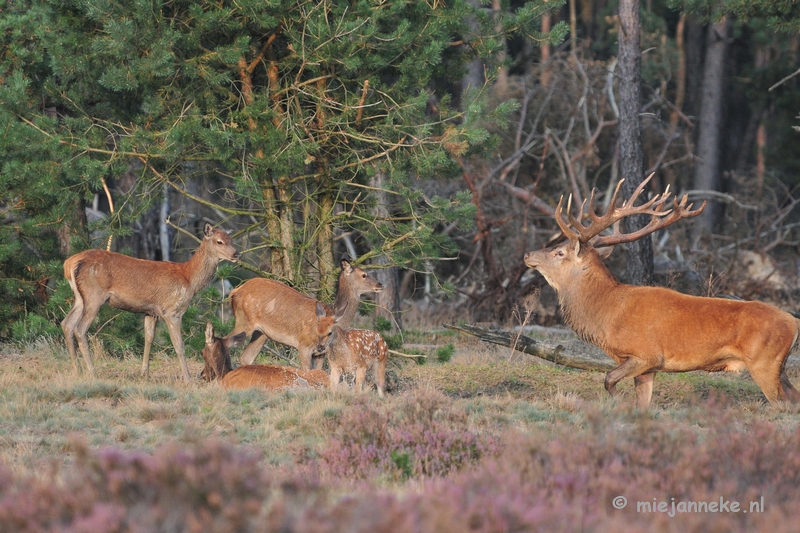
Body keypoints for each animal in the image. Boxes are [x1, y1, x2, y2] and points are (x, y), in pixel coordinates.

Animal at [62, 222, 238, 380]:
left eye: (231, 239)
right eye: (219, 241)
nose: (237, 254)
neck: (189, 279)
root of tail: (68, 264)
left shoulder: (151, 312)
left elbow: (149, 339)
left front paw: (144, 374)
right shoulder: (172, 310)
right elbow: (179, 345)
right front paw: (189, 378)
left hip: (80, 298)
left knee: (67, 324)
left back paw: (77, 370)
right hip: (94, 295)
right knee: (80, 329)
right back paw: (92, 372)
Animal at [228, 256, 384, 370]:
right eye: (364, 275)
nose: (380, 285)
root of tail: (235, 292)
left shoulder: (320, 353)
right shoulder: (303, 345)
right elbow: (307, 371)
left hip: (261, 333)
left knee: (245, 357)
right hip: (244, 321)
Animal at [520, 177, 800, 410]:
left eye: (559, 252)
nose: (527, 254)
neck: (608, 314)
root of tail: (793, 322)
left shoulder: (646, 354)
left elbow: (608, 379)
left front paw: (619, 403)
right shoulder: (648, 369)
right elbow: (642, 403)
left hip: (764, 362)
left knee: (783, 405)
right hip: (780, 367)